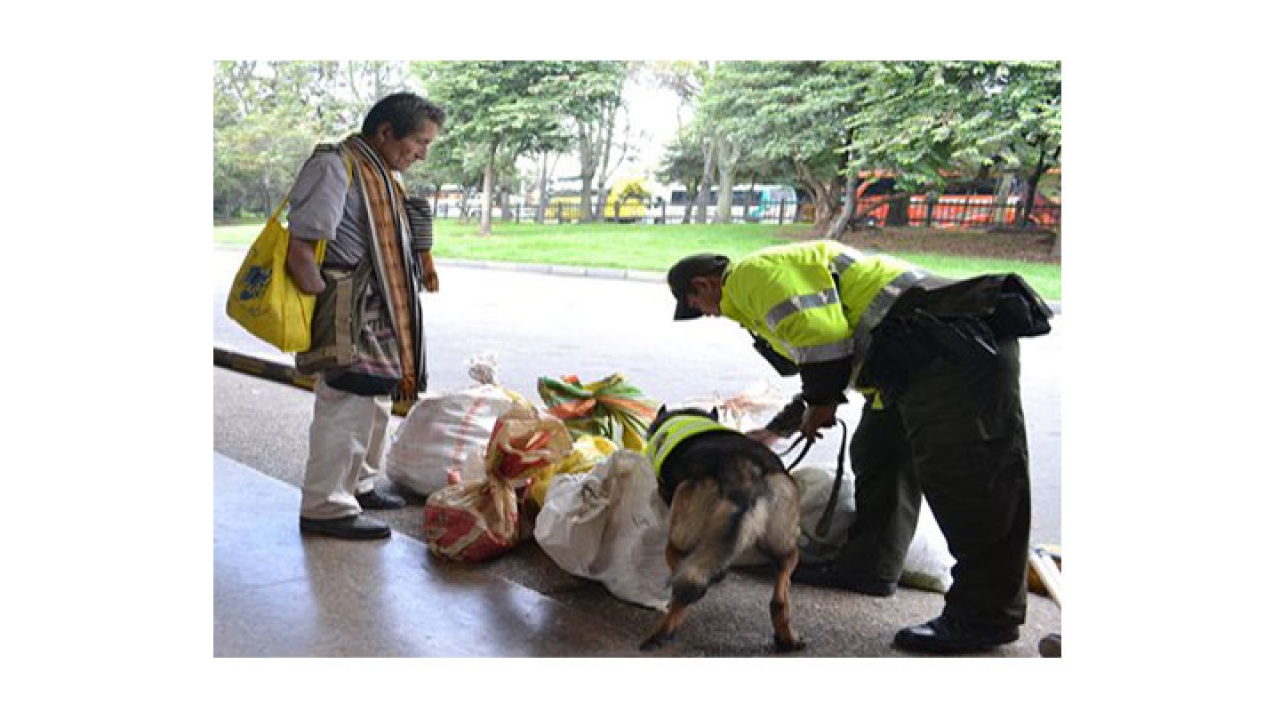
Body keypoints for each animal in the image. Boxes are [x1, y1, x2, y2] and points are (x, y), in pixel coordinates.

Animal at [645, 404, 803, 650]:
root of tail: (745, 471)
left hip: (681, 529)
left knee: (682, 573)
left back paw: (664, 630)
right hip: (784, 542)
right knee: (780, 594)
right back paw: (786, 637)